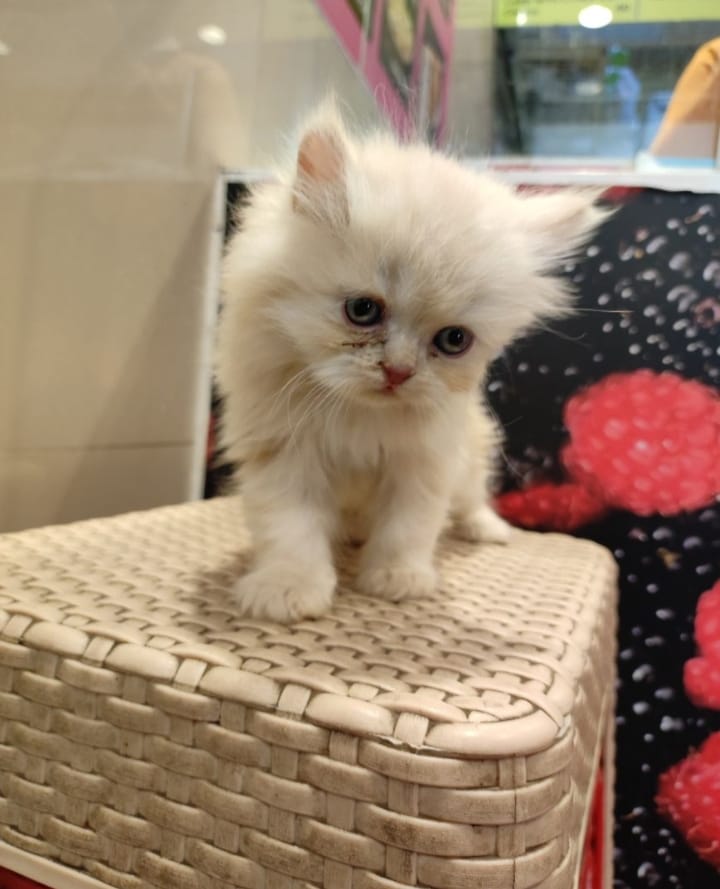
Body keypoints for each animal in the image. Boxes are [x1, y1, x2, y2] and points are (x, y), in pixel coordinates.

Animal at [215, 103, 606, 623]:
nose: (398, 371)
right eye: (363, 310)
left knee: (473, 497)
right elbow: (290, 531)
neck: (357, 417)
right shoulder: (283, 455)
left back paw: (486, 529)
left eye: (454, 340)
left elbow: (408, 528)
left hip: (474, 450)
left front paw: (397, 579)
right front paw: (288, 589)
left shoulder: (423, 463)